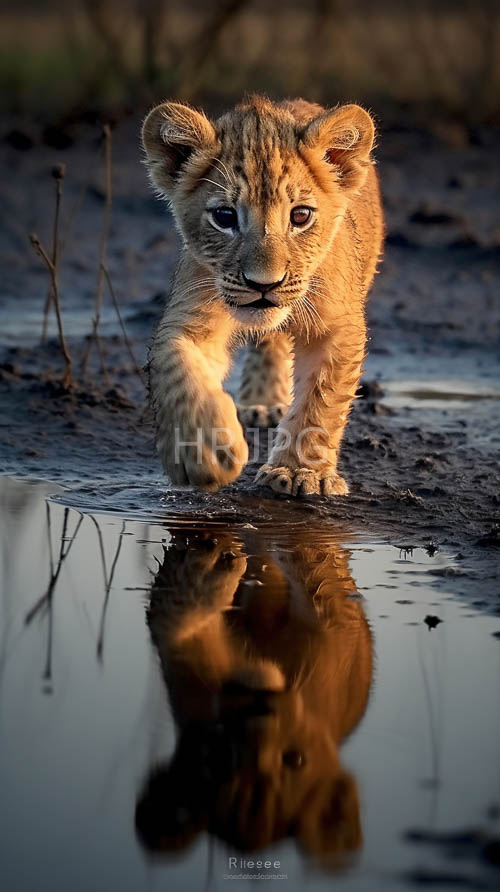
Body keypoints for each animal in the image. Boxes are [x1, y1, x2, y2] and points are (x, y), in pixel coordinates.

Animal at [135, 528, 373, 862]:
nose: (260, 711)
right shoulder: (179, 660)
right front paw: (211, 565)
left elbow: (315, 563)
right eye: (219, 756)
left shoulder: (337, 626)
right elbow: (174, 617)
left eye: (295, 759)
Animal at [142, 95, 383, 496]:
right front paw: (202, 451)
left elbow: (322, 398)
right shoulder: (191, 313)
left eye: (300, 216)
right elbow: (178, 369)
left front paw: (301, 473)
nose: (264, 285)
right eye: (224, 216)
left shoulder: (338, 326)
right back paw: (261, 404)